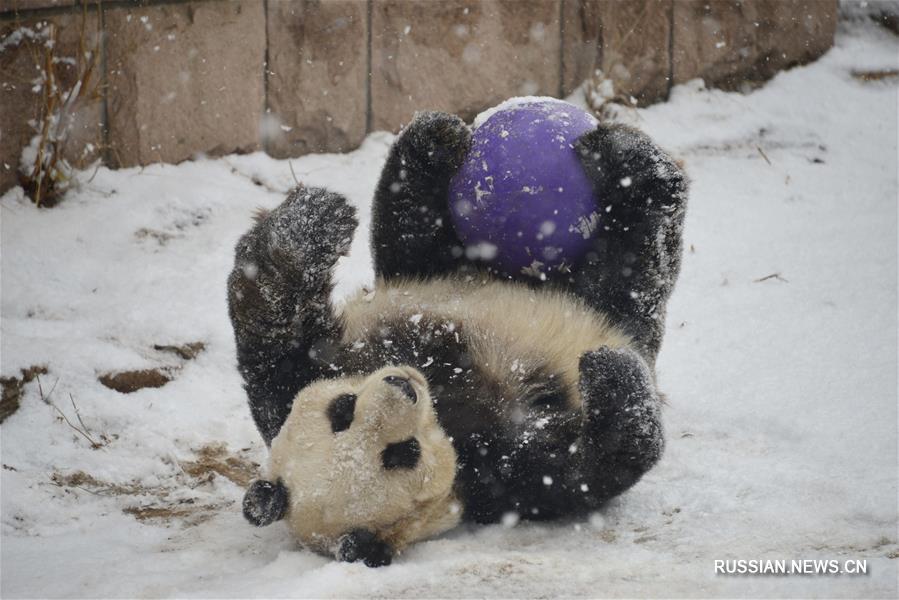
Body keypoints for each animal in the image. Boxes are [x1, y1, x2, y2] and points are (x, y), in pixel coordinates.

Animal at [227, 112, 688, 568]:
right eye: (402, 453)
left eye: (343, 409)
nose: (402, 386)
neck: (442, 403)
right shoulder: (495, 477)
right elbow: (588, 466)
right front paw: (609, 374)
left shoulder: (318, 369)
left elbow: (275, 339)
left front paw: (306, 227)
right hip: (620, 302)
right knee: (635, 262)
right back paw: (635, 168)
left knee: (413, 233)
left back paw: (434, 141)